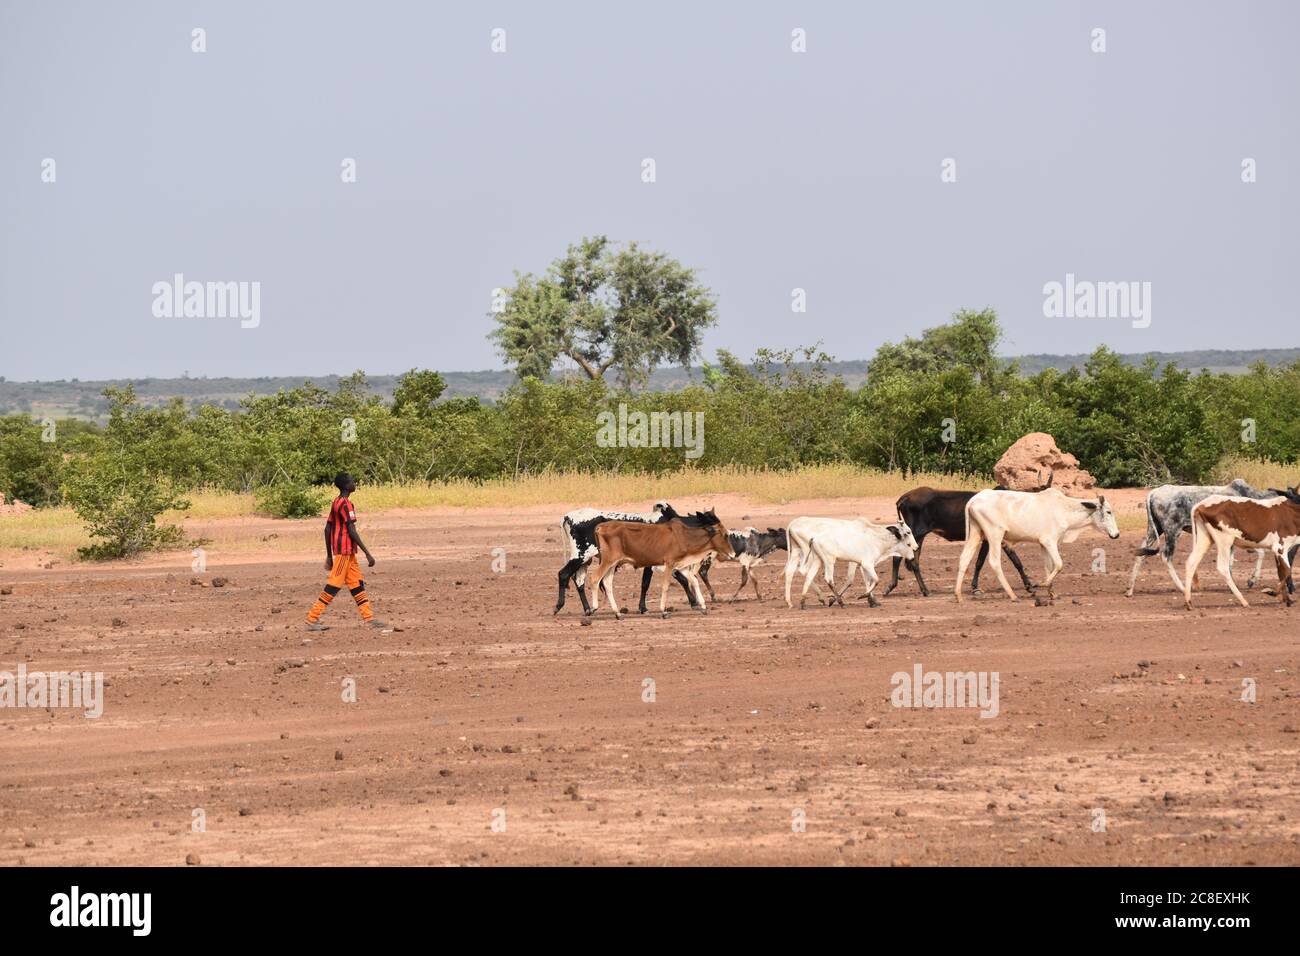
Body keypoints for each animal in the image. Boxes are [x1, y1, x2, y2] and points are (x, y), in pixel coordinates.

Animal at [587, 509, 733, 621]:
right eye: (725, 535)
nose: (732, 554)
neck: (685, 537)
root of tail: (601, 526)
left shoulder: (681, 565)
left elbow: (694, 581)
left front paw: (703, 607)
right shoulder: (669, 563)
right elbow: (665, 586)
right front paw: (663, 611)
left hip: (613, 563)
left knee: (607, 583)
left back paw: (618, 613)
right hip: (608, 561)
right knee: (594, 578)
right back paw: (593, 608)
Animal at [951, 489, 1123, 600]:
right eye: (1108, 512)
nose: (1116, 535)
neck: (1064, 509)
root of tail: (974, 500)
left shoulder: (1043, 544)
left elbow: (1049, 567)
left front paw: (1051, 593)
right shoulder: (1050, 541)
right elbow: (1059, 565)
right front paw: (1039, 585)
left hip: (976, 533)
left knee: (964, 558)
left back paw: (958, 595)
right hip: (994, 535)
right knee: (994, 562)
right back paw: (1012, 595)